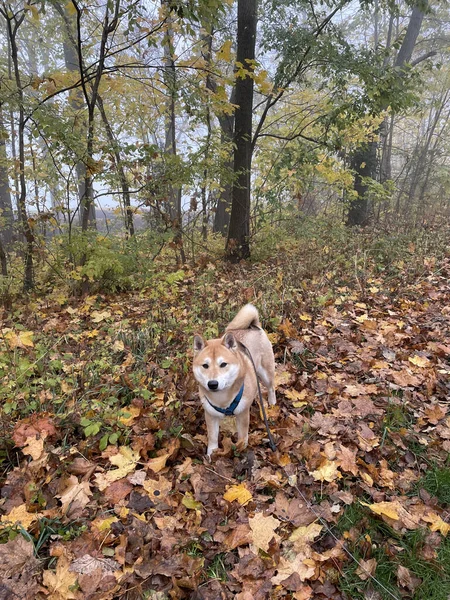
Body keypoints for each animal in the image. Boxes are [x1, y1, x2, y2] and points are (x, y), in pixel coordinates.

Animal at [192, 308, 276, 458]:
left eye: (223, 364)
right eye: (205, 366)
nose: (212, 384)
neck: (222, 399)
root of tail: (253, 326)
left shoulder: (242, 413)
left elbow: (242, 437)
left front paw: (241, 450)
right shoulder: (211, 415)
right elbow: (212, 437)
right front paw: (211, 454)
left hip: (266, 373)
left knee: (271, 387)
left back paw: (272, 404)